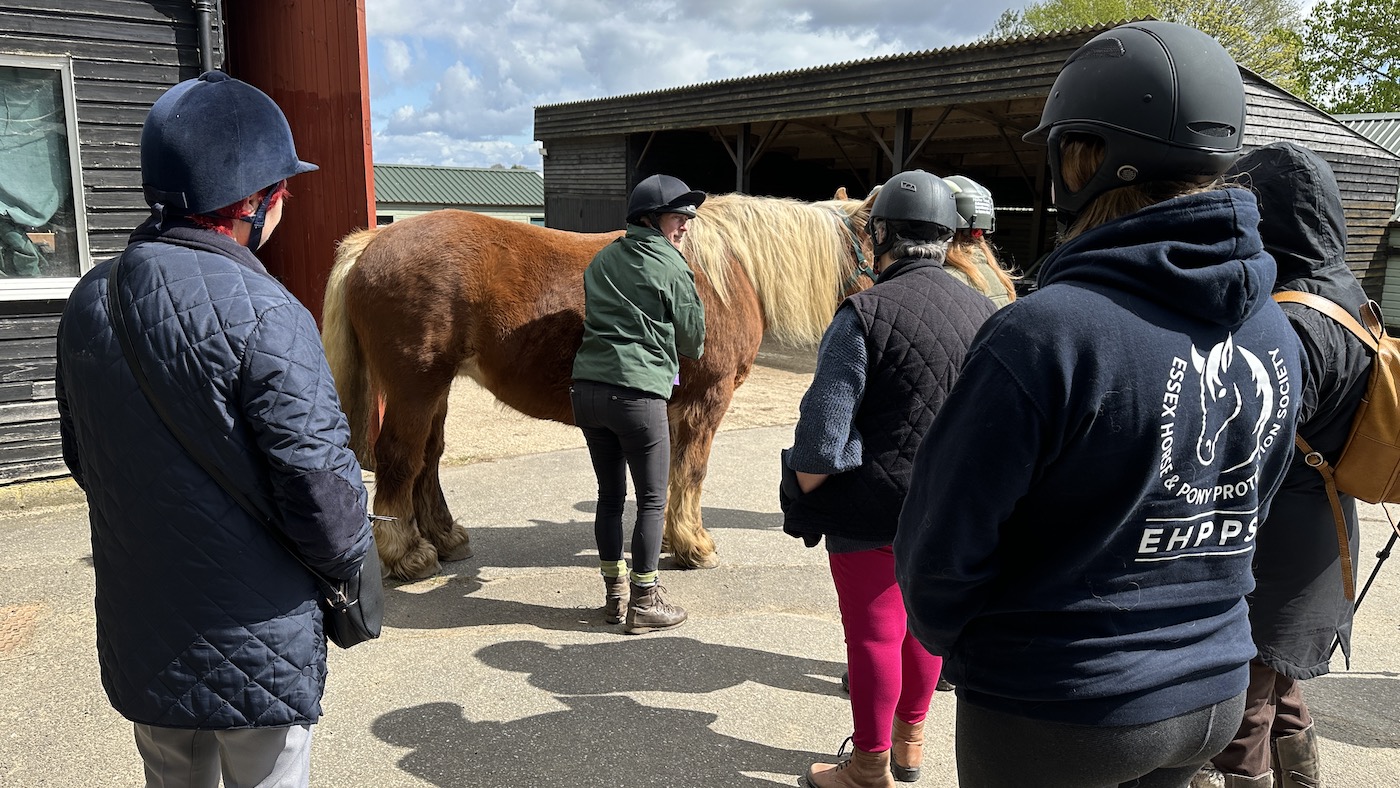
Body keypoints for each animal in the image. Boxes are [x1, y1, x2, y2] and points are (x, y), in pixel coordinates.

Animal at [322, 191, 876, 581]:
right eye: (881, 245)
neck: (725, 270)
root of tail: (371, 243)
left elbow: (671, 472)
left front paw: (673, 538)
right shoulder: (707, 399)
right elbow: (692, 471)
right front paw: (695, 546)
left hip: (435, 389)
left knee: (428, 458)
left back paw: (444, 537)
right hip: (415, 388)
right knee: (399, 458)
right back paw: (409, 555)